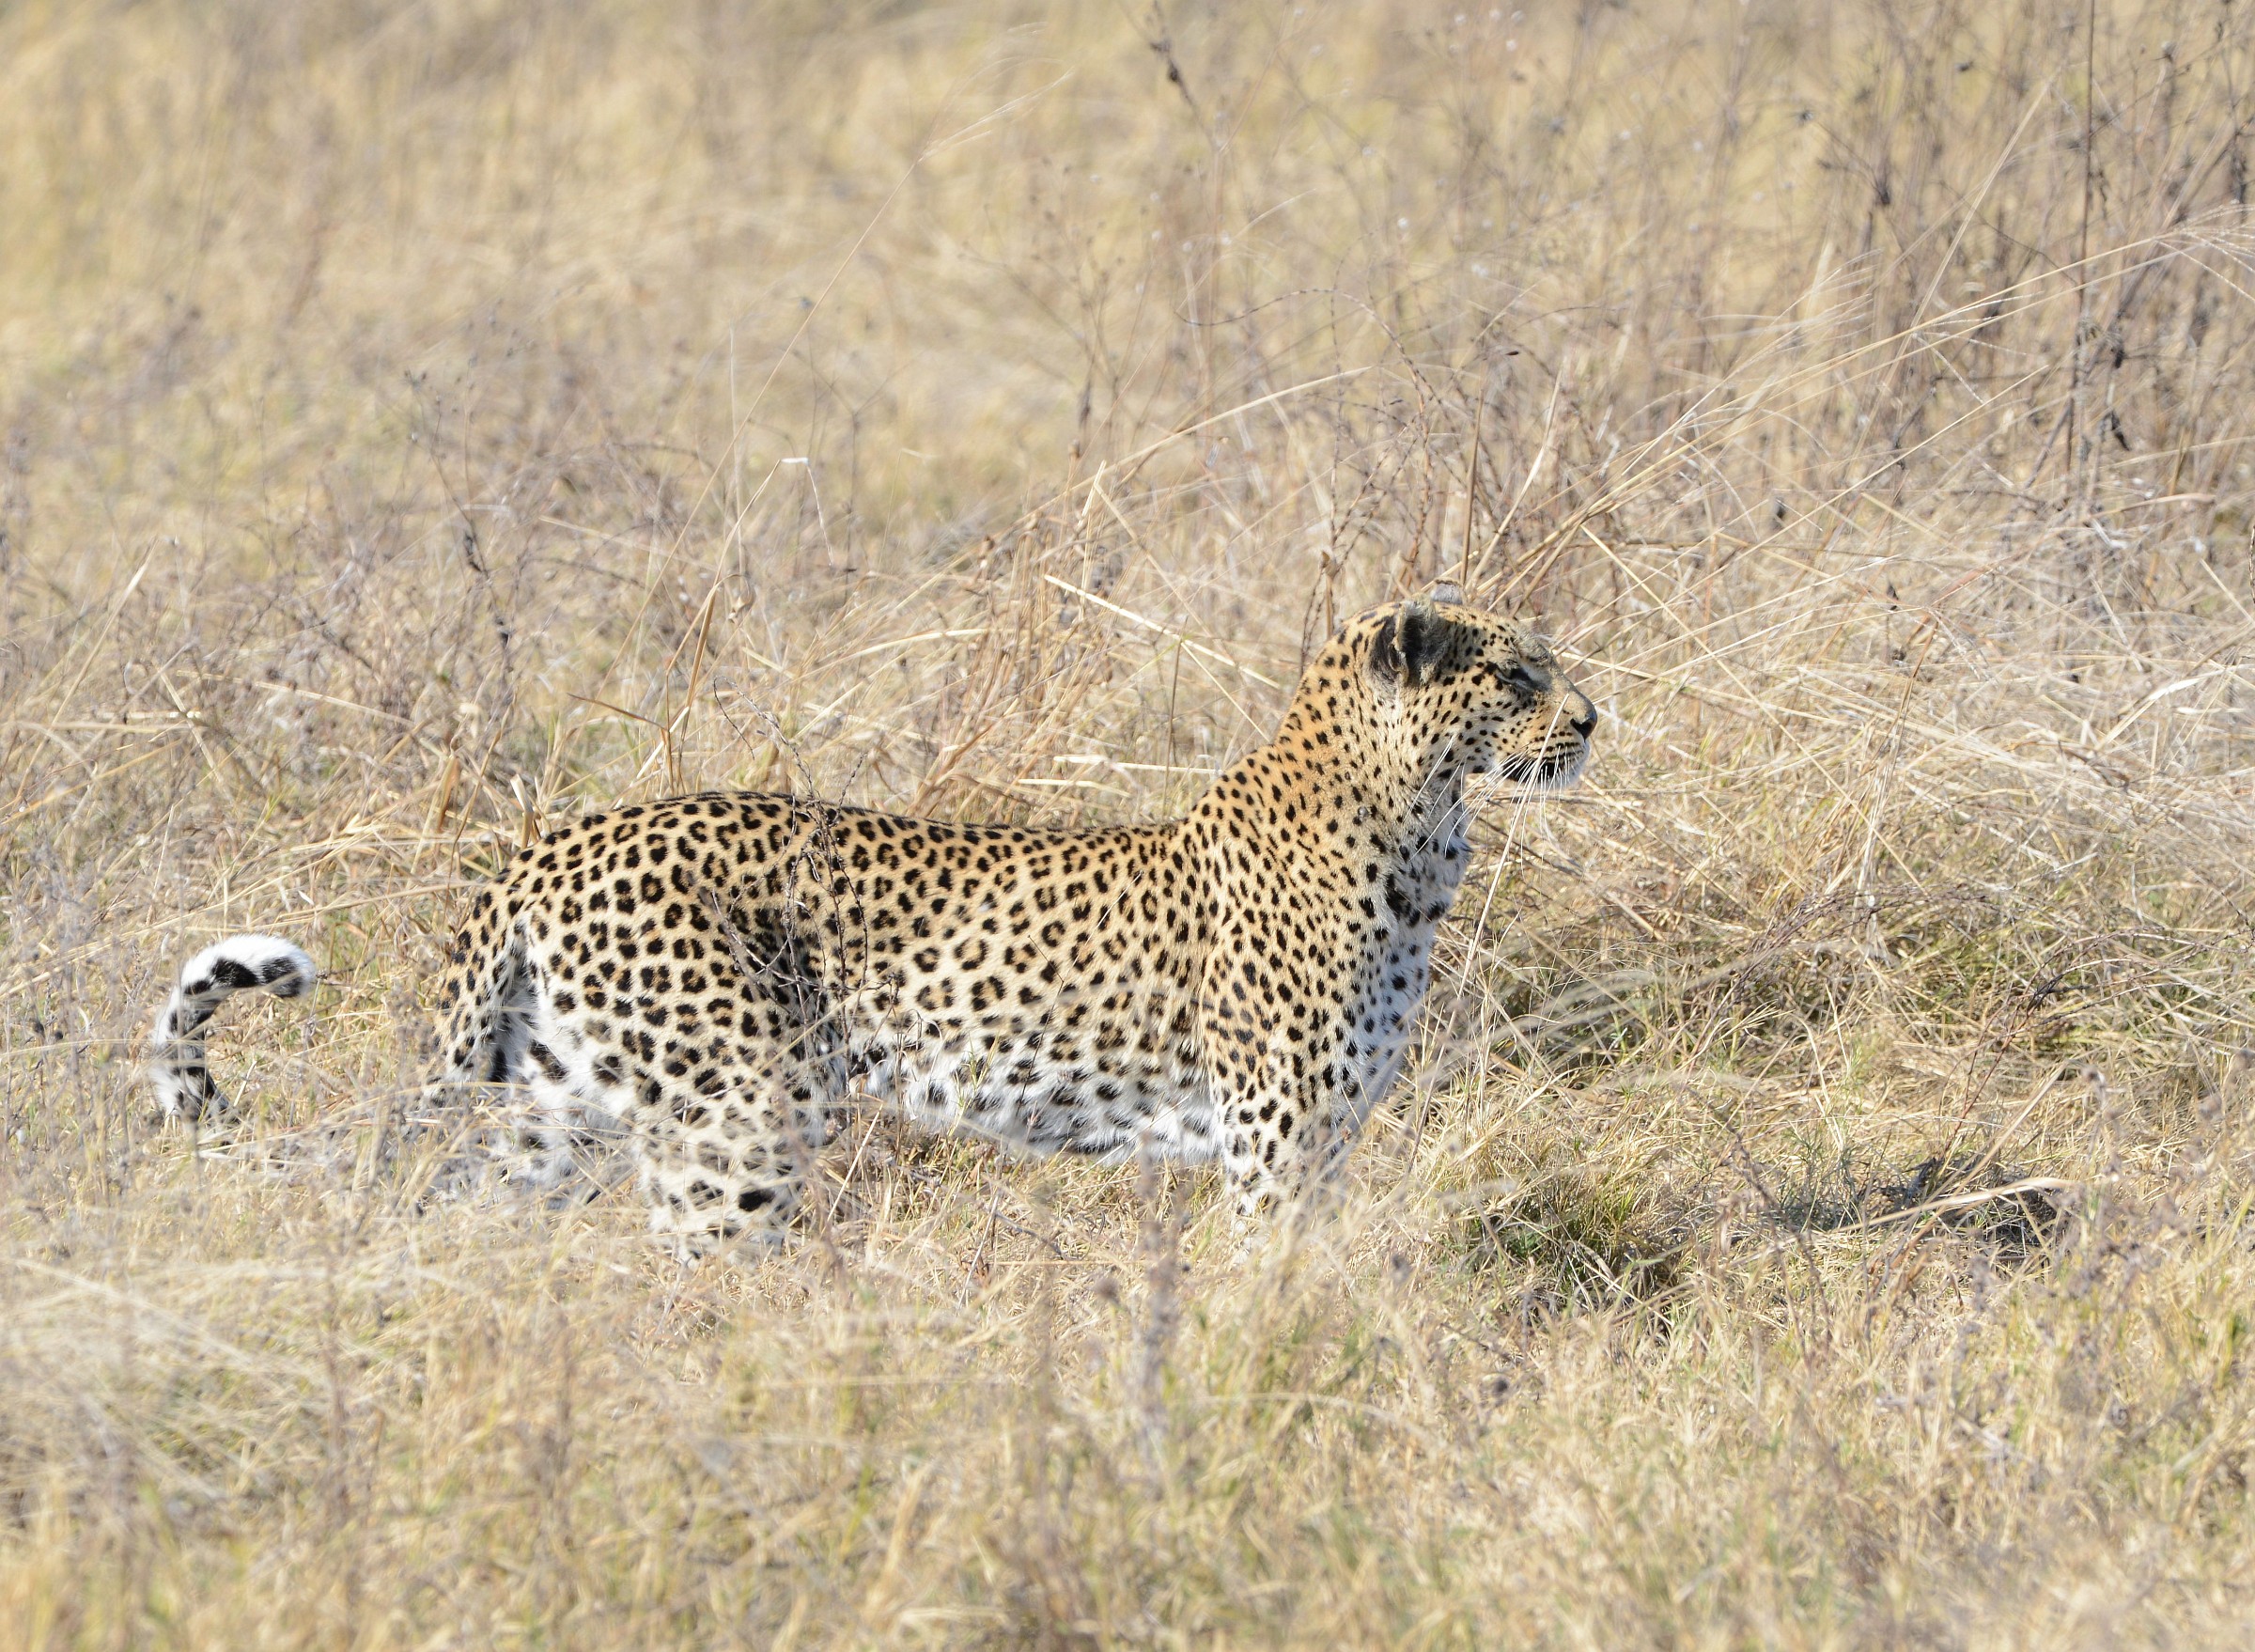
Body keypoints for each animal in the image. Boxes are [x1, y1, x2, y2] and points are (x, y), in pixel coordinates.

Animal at [149, 589, 1596, 1248]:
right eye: (1517, 676)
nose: (1592, 718)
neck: (1419, 836)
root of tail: (552, 841)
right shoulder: (1277, 1142)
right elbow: (1270, 1278)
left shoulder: (1324, 1138)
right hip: (740, 1101)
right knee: (695, 1257)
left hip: (560, 1103)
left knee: (463, 1202)